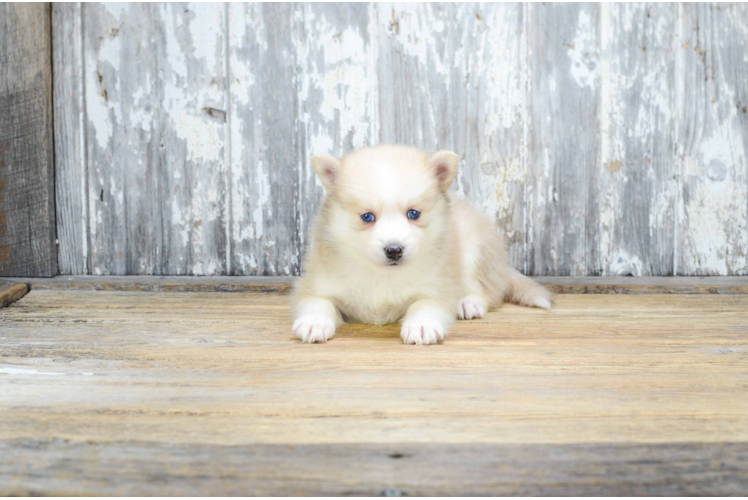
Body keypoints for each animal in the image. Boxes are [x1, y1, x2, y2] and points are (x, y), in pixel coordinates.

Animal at [290, 145, 552, 344]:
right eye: (367, 216)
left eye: (413, 213)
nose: (394, 250)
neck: (383, 276)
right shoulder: (315, 282)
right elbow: (318, 302)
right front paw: (314, 322)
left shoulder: (438, 287)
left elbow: (425, 305)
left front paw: (421, 325)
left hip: (474, 248)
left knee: (488, 290)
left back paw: (469, 303)